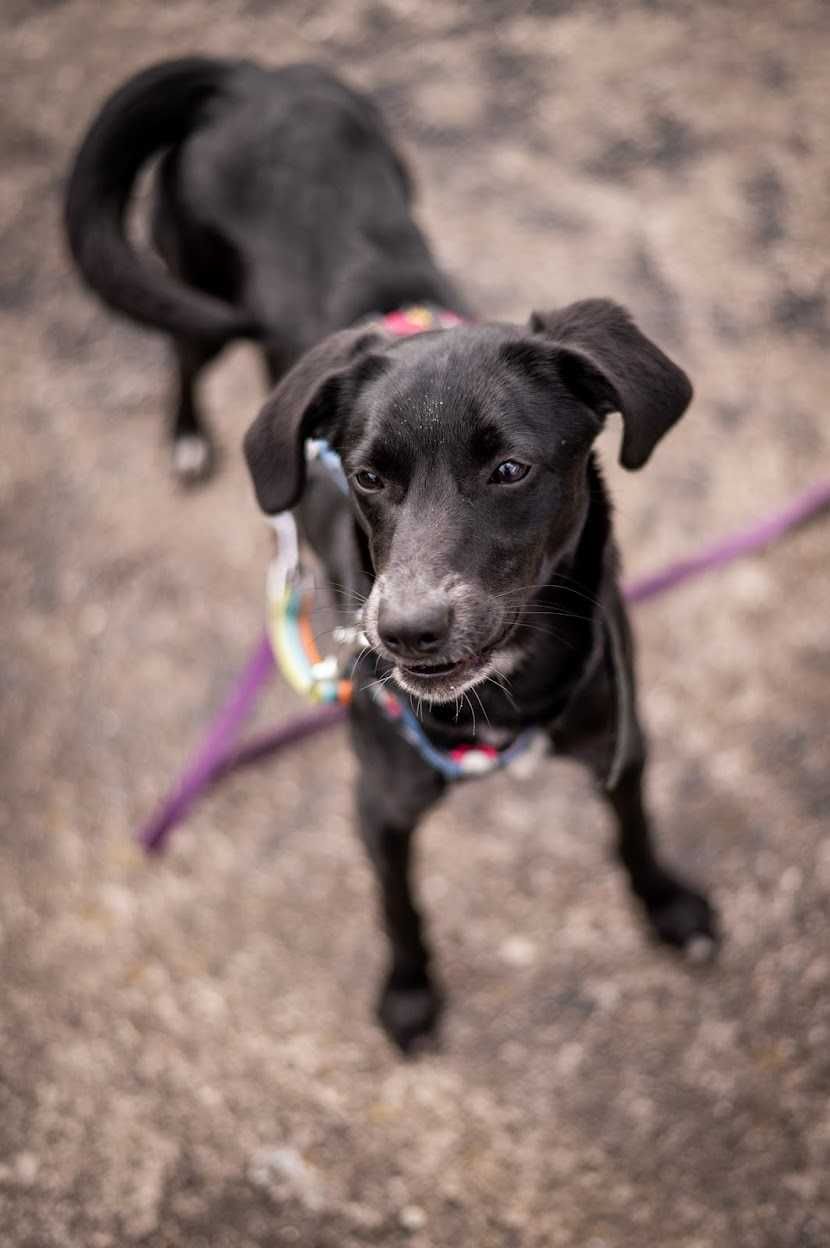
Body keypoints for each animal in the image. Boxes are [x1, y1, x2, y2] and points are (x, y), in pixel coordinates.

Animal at [68, 58, 718, 1053]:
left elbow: (633, 833)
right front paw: (410, 995)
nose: (405, 632)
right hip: (198, 294)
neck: (507, 697)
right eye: (368, 476)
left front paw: (667, 907)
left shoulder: (622, 735)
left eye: (509, 469)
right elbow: (400, 910)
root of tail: (246, 78)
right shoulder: (380, 807)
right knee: (181, 353)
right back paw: (185, 438)